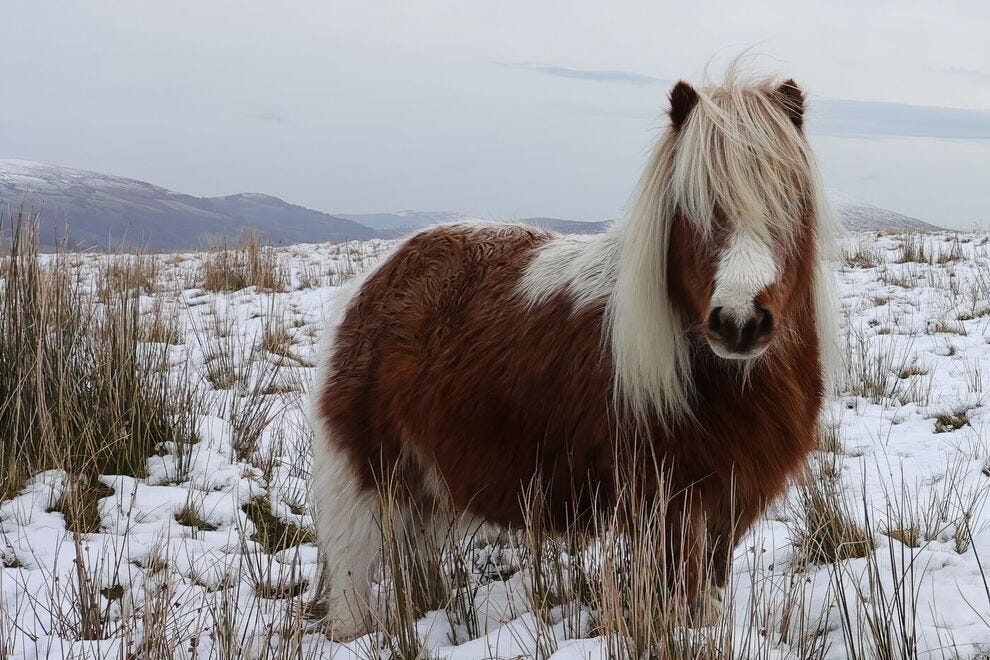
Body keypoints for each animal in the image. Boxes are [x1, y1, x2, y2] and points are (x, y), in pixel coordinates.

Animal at [308, 69, 836, 636]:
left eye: (790, 203)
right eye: (689, 209)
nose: (739, 323)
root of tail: (375, 279)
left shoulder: (729, 502)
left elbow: (708, 590)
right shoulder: (665, 507)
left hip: (427, 486)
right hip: (367, 482)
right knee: (352, 576)